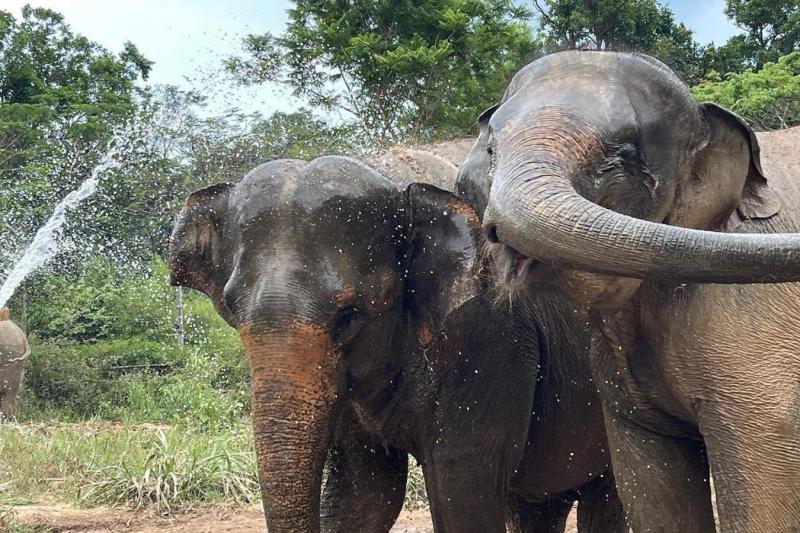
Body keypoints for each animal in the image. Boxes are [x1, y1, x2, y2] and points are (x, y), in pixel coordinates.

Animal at [168, 155, 626, 532]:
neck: (397, 182)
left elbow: (461, 498)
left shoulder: (488, 339)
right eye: (232, 309)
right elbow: (364, 499)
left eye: (348, 315)